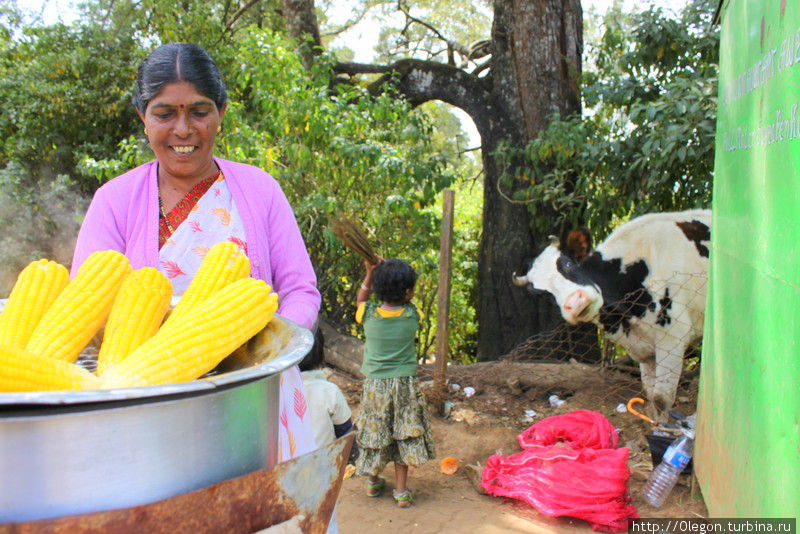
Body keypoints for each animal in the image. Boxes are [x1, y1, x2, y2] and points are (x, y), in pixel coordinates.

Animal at [512, 210, 712, 414]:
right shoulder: (645, 350)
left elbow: (660, 400)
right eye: (541, 293)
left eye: (568, 264)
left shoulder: (672, 338)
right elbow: (650, 396)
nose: (575, 303)